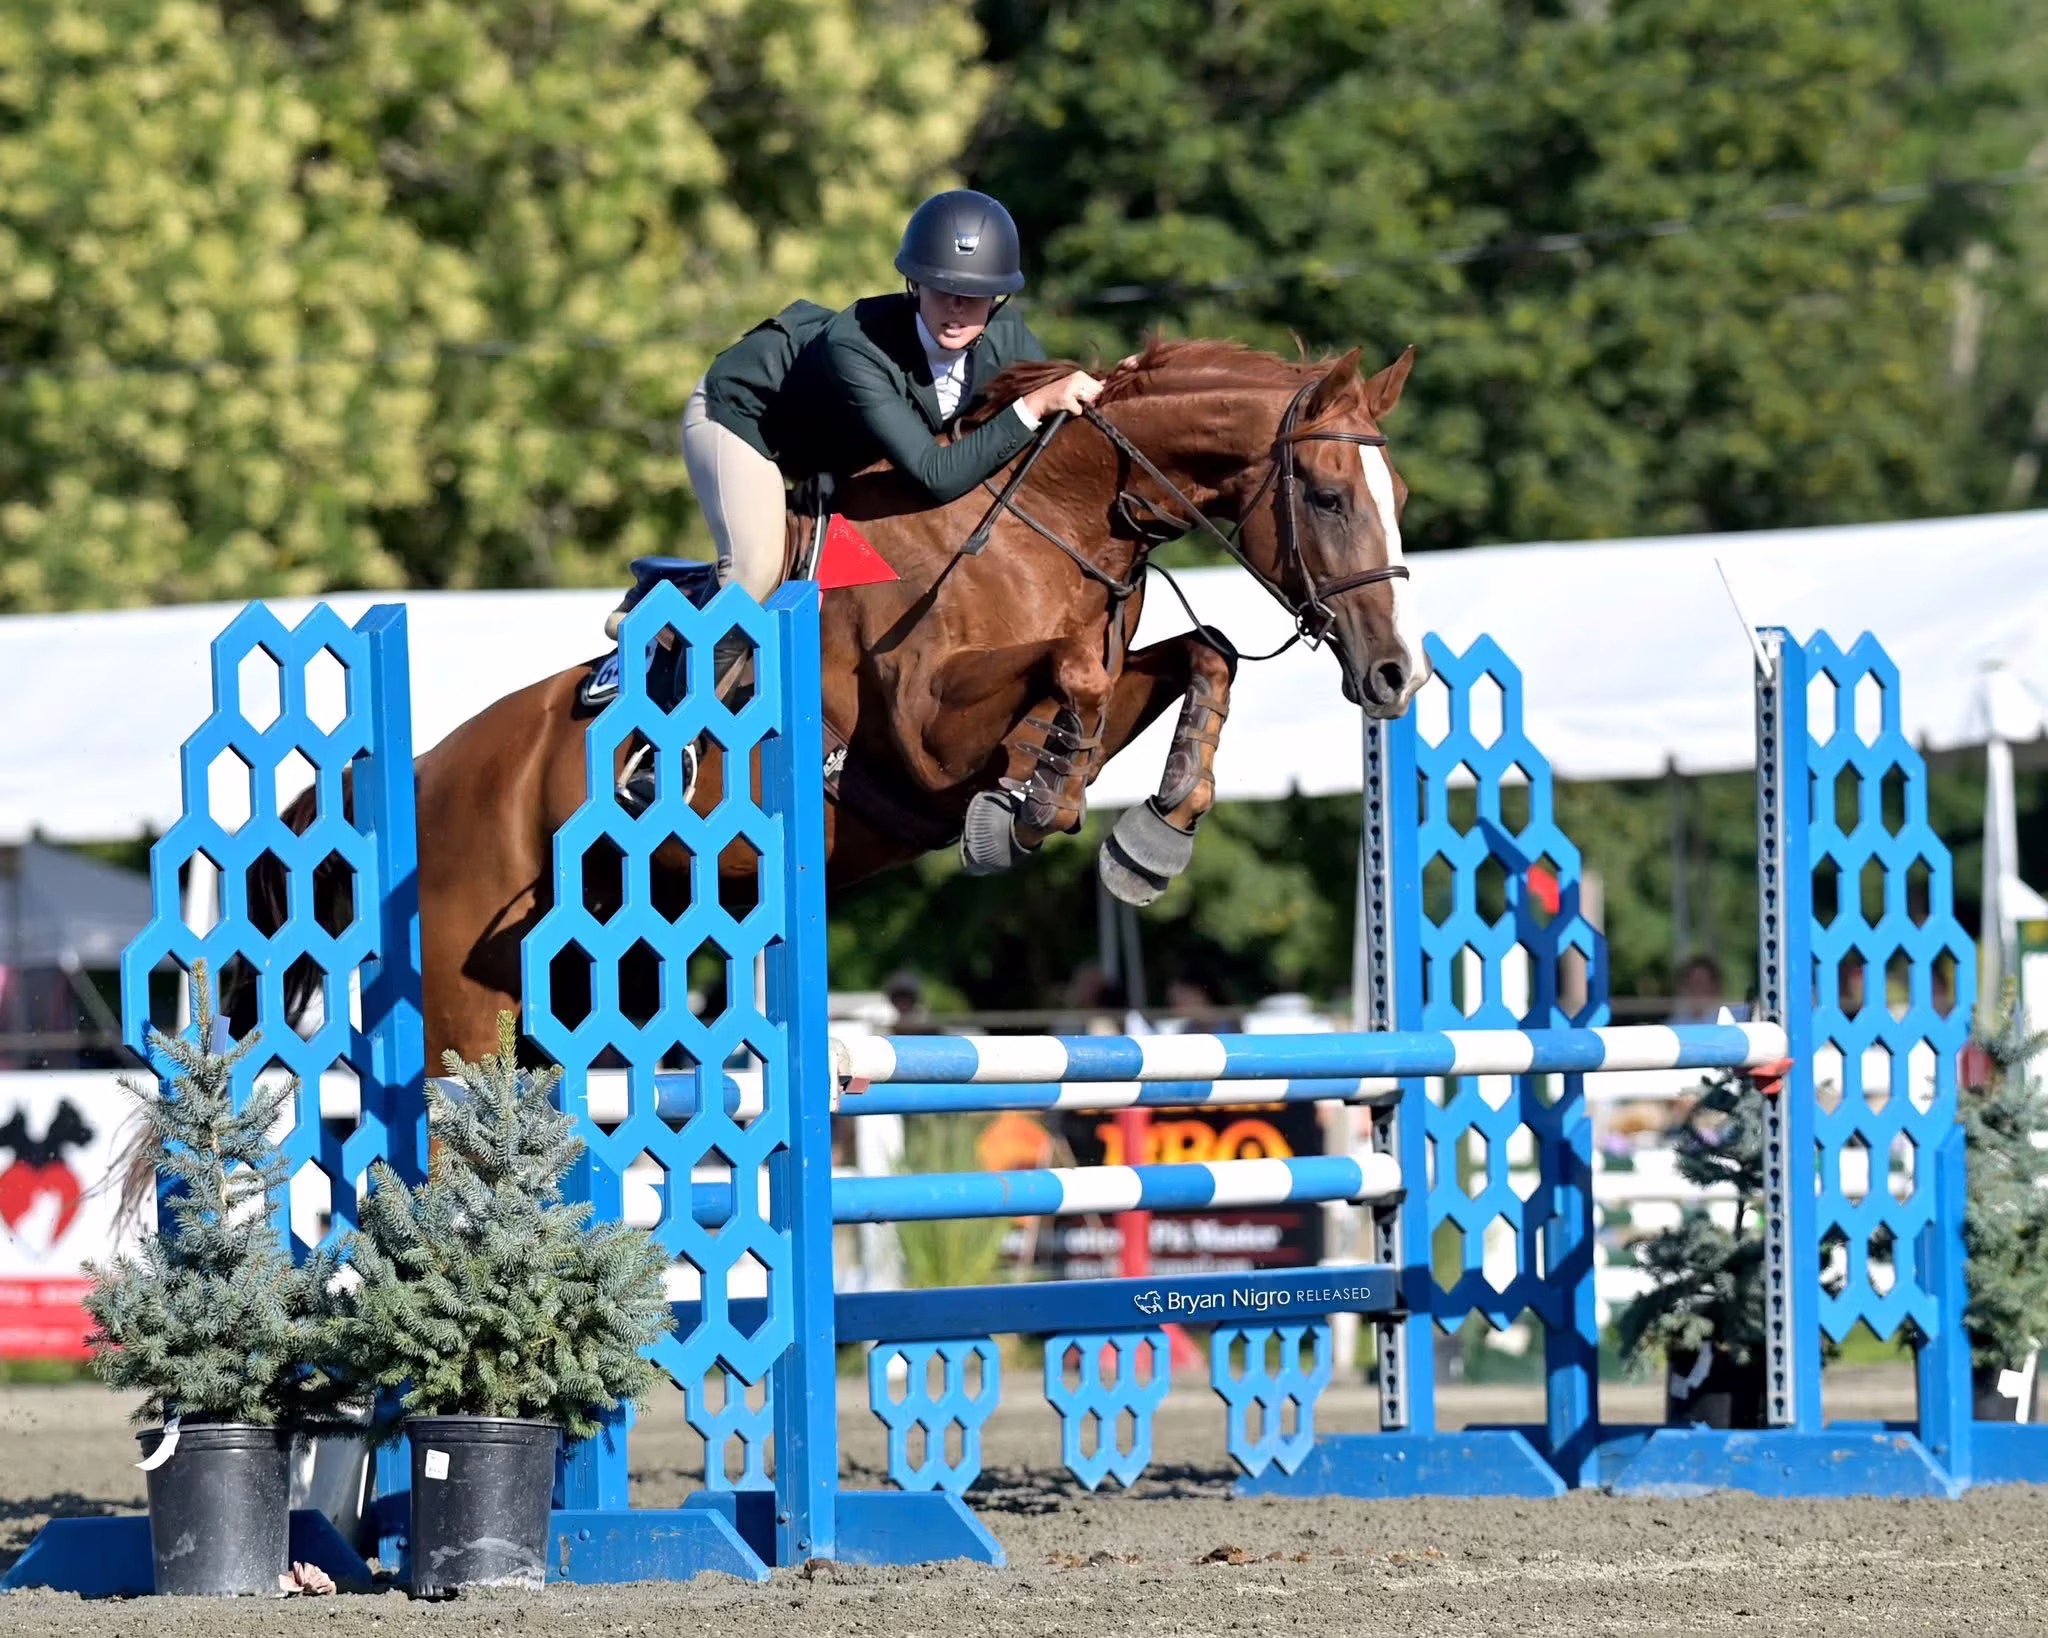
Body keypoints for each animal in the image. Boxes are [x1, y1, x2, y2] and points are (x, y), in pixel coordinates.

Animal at [252, 338, 1427, 1068]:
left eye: (1397, 498)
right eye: (1327, 497)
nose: (1394, 678)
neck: (1054, 514)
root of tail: (414, 776)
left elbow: (1202, 654)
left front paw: (1149, 838)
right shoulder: (921, 738)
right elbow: (1073, 680)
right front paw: (1029, 811)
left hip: (595, 987)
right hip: (468, 1014)